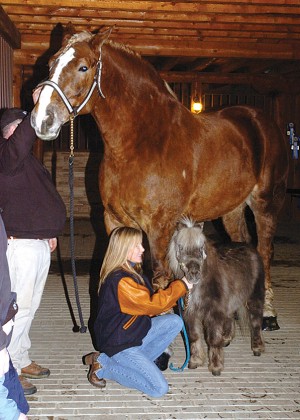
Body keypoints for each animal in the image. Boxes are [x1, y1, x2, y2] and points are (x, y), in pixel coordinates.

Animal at [29, 24, 288, 330]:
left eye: (83, 67)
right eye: (50, 63)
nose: (42, 120)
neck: (142, 143)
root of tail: (260, 120)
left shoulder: (159, 226)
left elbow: (160, 276)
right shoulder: (114, 219)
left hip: (265, 203)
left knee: (265, 250)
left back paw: (268, 313)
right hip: (232, 209)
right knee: (243, 244)